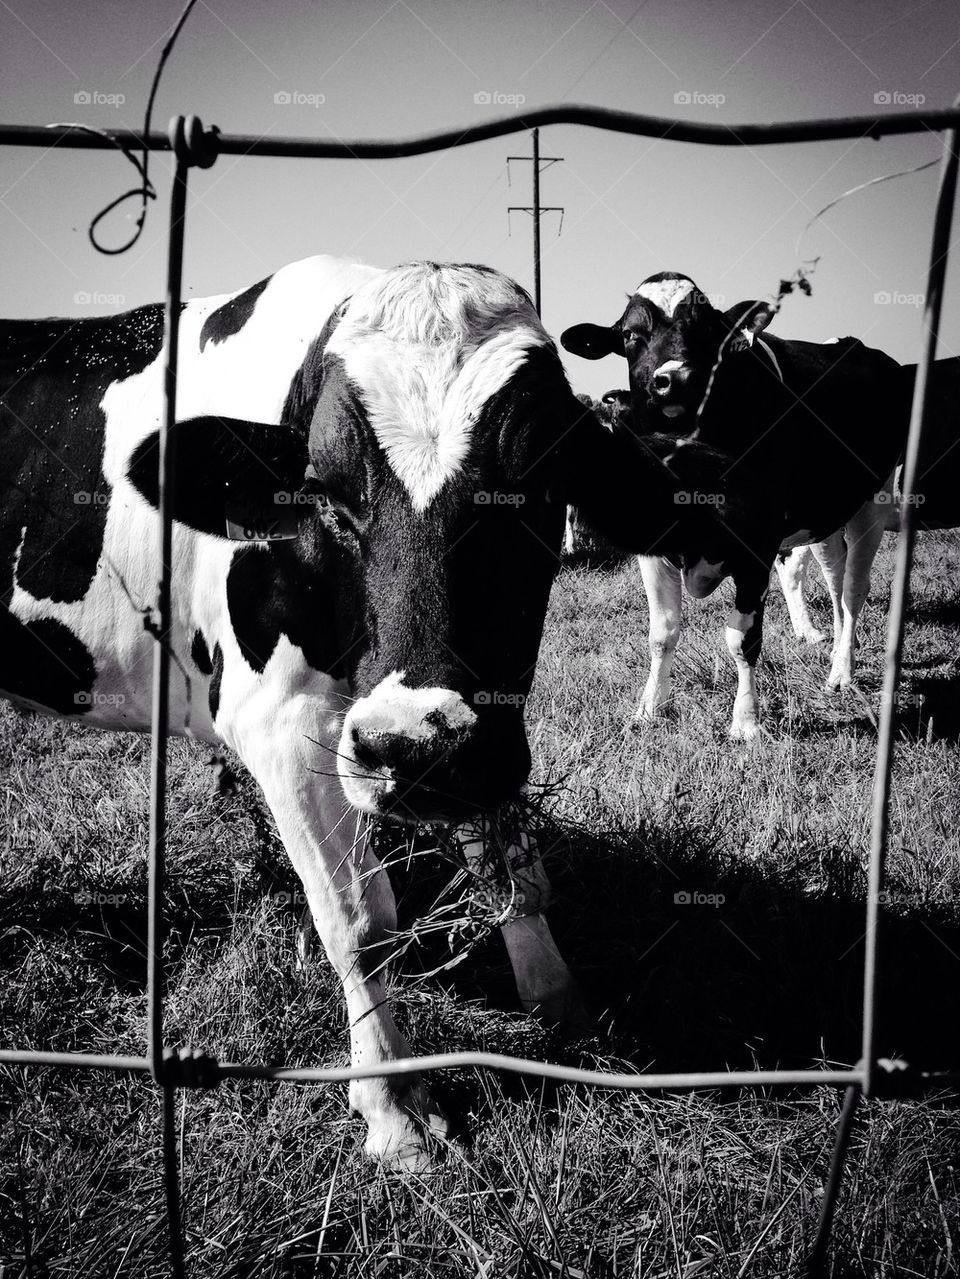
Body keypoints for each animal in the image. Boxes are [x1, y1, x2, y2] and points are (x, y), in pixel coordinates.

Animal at [1, 255, 760, 1168]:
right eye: (323, 495)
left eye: (540, 488)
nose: (415, 745)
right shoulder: (280, 727)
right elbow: (361, 922)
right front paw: (394, 1108)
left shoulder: (483, 734)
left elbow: (517, 874)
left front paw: (563, 1011)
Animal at [561, 272, 907, 739]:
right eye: (631, 334)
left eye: (709, 328)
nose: (676, 377)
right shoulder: (654, 548)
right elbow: (661, 633)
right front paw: (649, 709)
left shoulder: (755, 545)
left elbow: (742, 638)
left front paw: (746, 722)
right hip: (826, 515)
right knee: (835, 580)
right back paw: (834, 651)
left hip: (873, 500)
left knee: (854, 588)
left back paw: (842, 673)